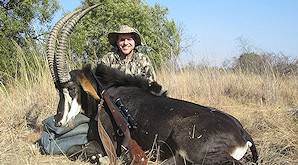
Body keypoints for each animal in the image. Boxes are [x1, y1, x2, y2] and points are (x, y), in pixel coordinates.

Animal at [47, 4, 258, 164]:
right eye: (57, 89)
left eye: (71, 88)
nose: (58, 120)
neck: (104, 95)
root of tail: (243, 133)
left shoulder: (108, 143)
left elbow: (76, 150)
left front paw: (101, 158)